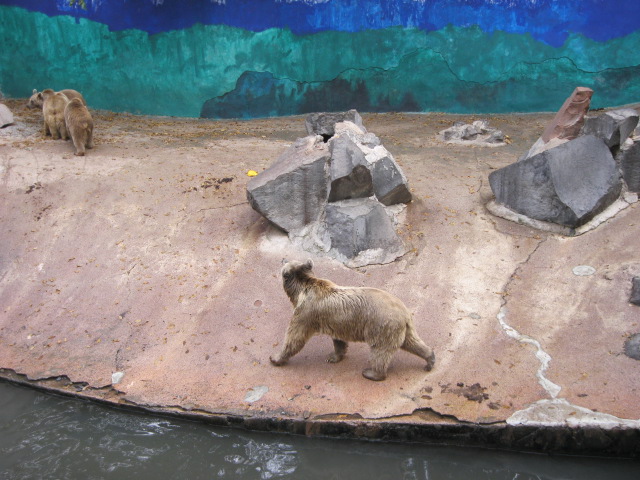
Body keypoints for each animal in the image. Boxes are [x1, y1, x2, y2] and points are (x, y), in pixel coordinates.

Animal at [270, 260, 435, 381]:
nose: (282, 259)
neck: (300, 291)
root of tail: (405, 313)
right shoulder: (335, 321)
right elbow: (338, 341)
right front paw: (334, 356)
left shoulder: (306, 313)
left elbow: (295, 338)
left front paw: (275, 357)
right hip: (402, 329)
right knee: (412, 342)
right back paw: (429, 359)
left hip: (381, 326)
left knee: (380, 351)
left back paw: (372, 373)